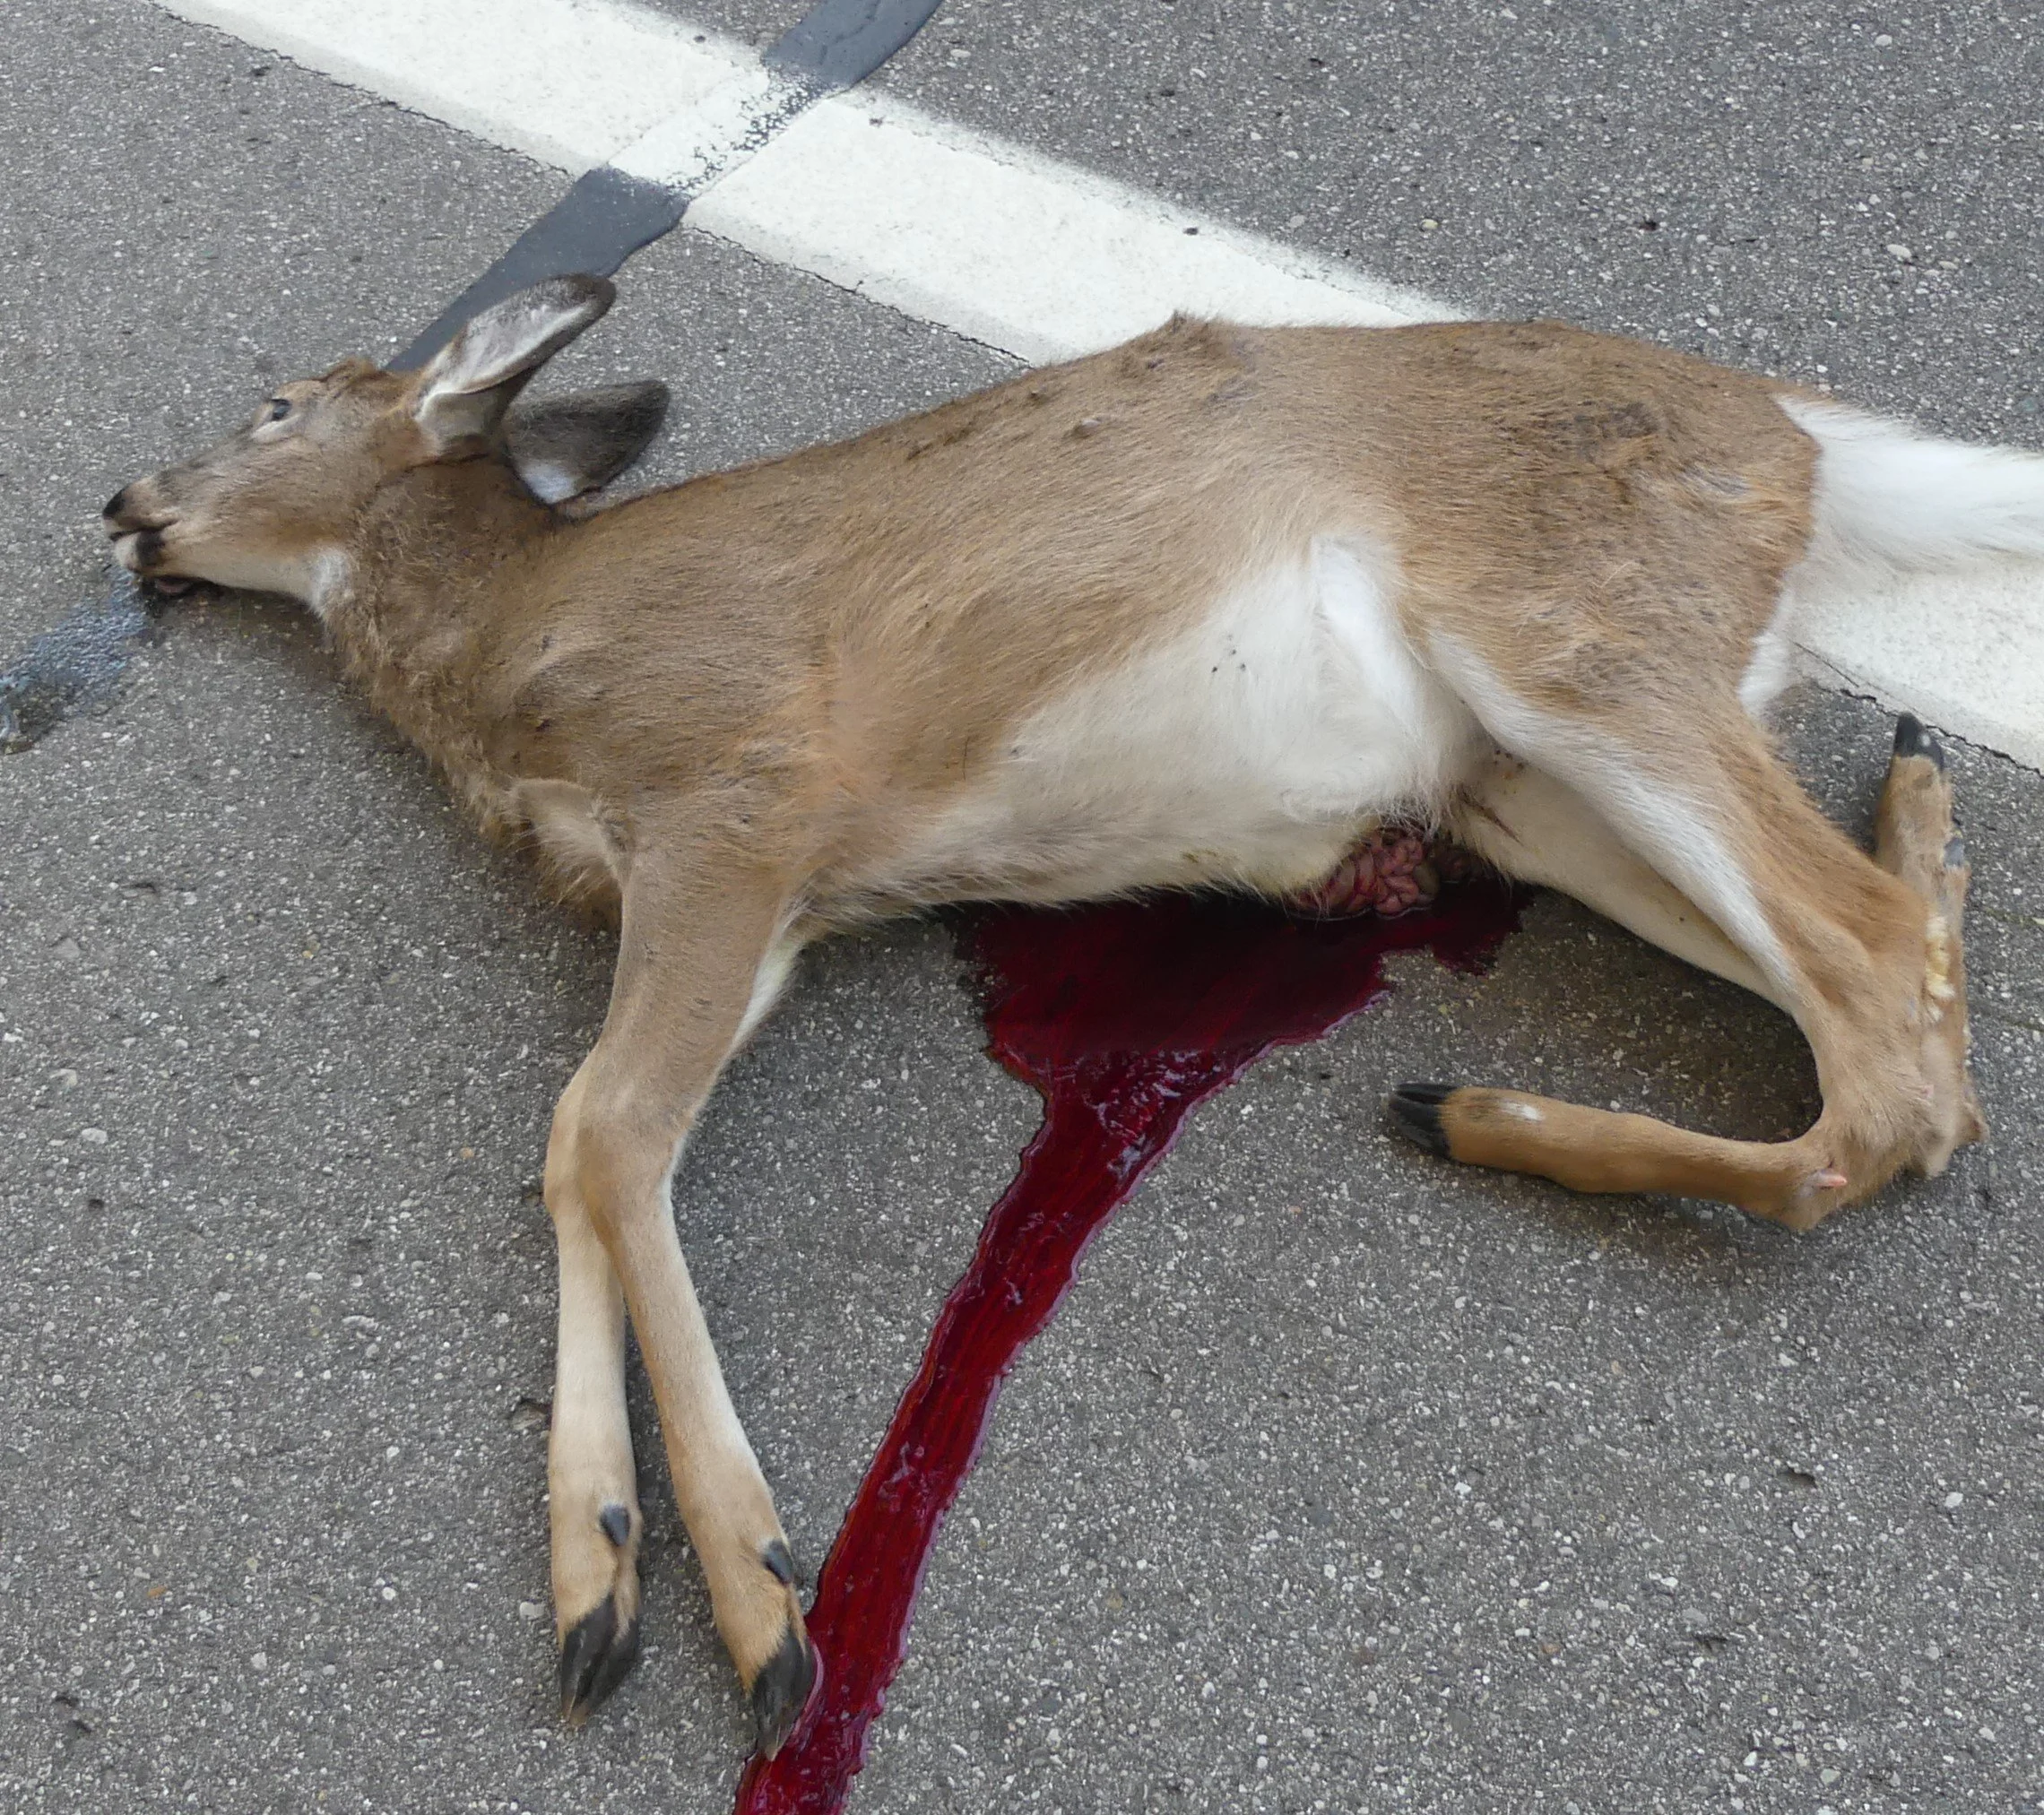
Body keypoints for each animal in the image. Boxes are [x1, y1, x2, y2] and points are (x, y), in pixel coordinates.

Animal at [102, 274, 1999, 1756]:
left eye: (274, 403)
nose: (126, 501)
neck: (510, 660)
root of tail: (1801, 436)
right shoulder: (759, 900)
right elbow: (581, 1140)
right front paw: (600, 1581)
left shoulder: (741, 795)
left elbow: (605, 1126)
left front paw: (759, 1607)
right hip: (1522, 786)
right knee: (1904, 1016)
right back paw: (1892, 813)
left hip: (1577, 630)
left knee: (1878, 1017)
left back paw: (1483, 1106)